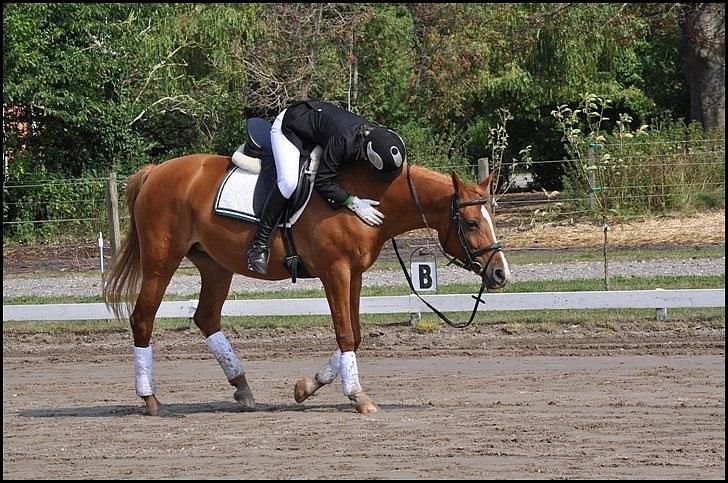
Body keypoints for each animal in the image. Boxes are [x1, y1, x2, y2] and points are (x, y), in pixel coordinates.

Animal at [103, 154, 511, 415]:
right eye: (471, 223)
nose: (500, 274)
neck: (362, 200)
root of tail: (155, 172)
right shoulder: (336, 273)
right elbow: (345, 334)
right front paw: (357, 396)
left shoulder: (354, 275)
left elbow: (355, 335)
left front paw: (308, 387)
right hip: (161, 262)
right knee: (142, 318)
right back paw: (151, 400)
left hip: (216, 266)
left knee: (206, 318)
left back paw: (242, 386)